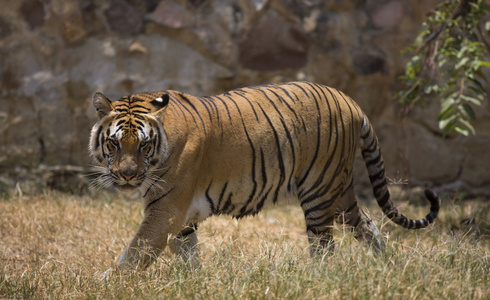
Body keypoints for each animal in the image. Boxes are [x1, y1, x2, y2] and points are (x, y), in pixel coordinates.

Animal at [89, 81, 440, 272]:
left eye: (143, 145)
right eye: (114, 143)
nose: (127, 176)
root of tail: (350, 101)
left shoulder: (166, 210)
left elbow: (134, 255)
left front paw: (111, 285)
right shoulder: (181, 218)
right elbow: (188, 256)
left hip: (318, 192)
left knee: (325, 247)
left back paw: (317, 277)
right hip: (340, 195)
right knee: (366, 225)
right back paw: (387, 264)